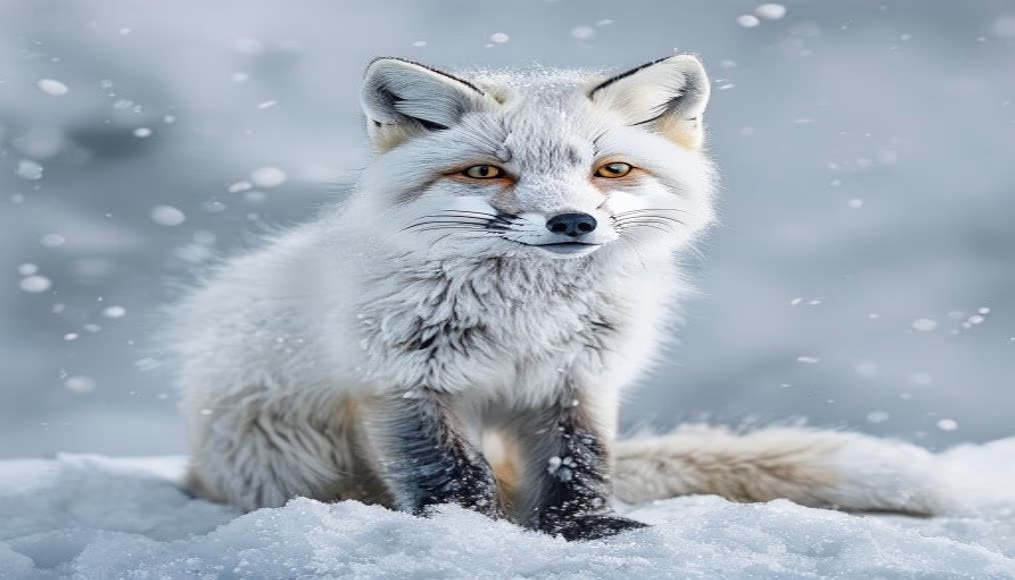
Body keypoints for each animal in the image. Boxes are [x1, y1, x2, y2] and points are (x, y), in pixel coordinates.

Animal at [167, 55, 956, 541]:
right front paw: (470, 537)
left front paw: (585, 535)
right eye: (486, 172)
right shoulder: (403, 379)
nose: (572, 221)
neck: (526, 316)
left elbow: (577, 467)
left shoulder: (576, 378)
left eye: (613, 170)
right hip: (283, 453)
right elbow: (447, 473)